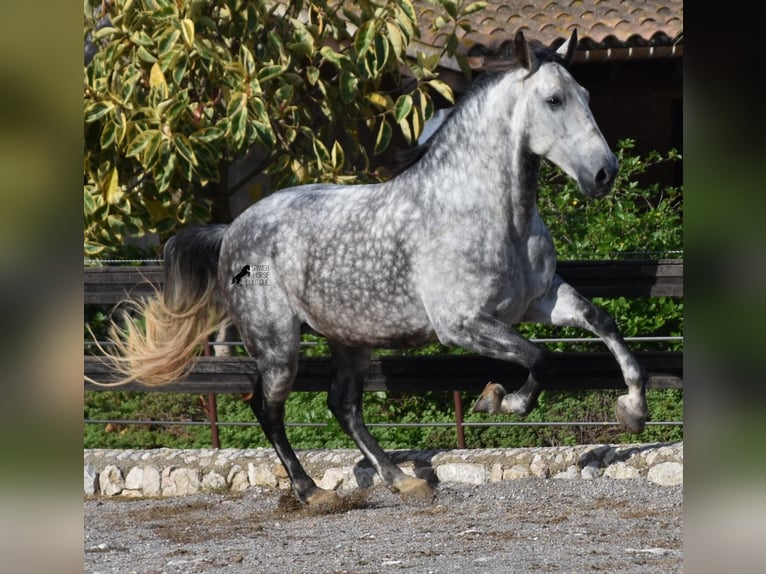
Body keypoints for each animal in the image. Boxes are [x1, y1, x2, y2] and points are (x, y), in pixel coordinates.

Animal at [94, 31, 648, 508]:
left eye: (586, 94)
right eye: (554, 100)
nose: (605, 173)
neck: (483, 210)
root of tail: (233, 229)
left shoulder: (539, 299)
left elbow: (601, 324)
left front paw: (633, 410)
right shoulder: (463, 324)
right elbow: (541, 358)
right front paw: (500, 401)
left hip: (350, 339)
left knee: (342, 405)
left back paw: (402, 480)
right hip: (278, 344)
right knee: (268, 409)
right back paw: (312, 491)